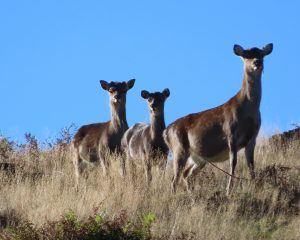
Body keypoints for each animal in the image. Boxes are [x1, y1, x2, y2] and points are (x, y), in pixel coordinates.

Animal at [164, 43, 274, 195]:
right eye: (246, 55)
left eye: (261, 54)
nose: (257, 62)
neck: (248, 112)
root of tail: (166, 132)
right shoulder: (230, 132)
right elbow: (233, 162)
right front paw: (228, 190)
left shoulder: (253, 137)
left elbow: (251, 164)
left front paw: (256, 187)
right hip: (178, 148)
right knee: (174, 179)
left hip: (198, 158)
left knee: (186, 174)